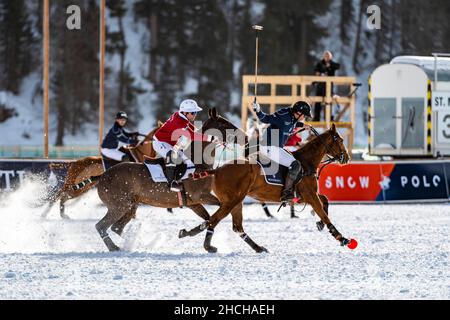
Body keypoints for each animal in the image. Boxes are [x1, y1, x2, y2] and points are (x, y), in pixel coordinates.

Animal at [181, 124, 356, 254]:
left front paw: (319, 223)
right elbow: (324, 214)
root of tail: (217, 170)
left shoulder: (304, 196)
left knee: (234, 226)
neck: (307, 163)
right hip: (231, 201)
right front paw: (342, 239)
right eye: (340, 140)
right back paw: (207, 245)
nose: (347, 158)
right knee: (214, 219)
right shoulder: (310, 195)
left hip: (236, 201)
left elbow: (325, 201)